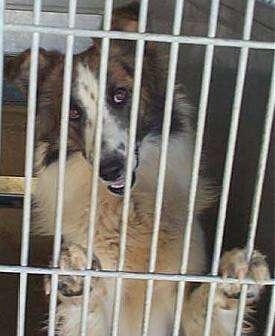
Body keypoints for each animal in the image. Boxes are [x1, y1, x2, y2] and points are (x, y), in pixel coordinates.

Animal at [5, 3, 270, 336]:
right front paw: (77, 275)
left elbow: (205, 305)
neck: (129, 212)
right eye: (74, 112)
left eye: (120, 95)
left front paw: (236, 273)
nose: (110, 169)